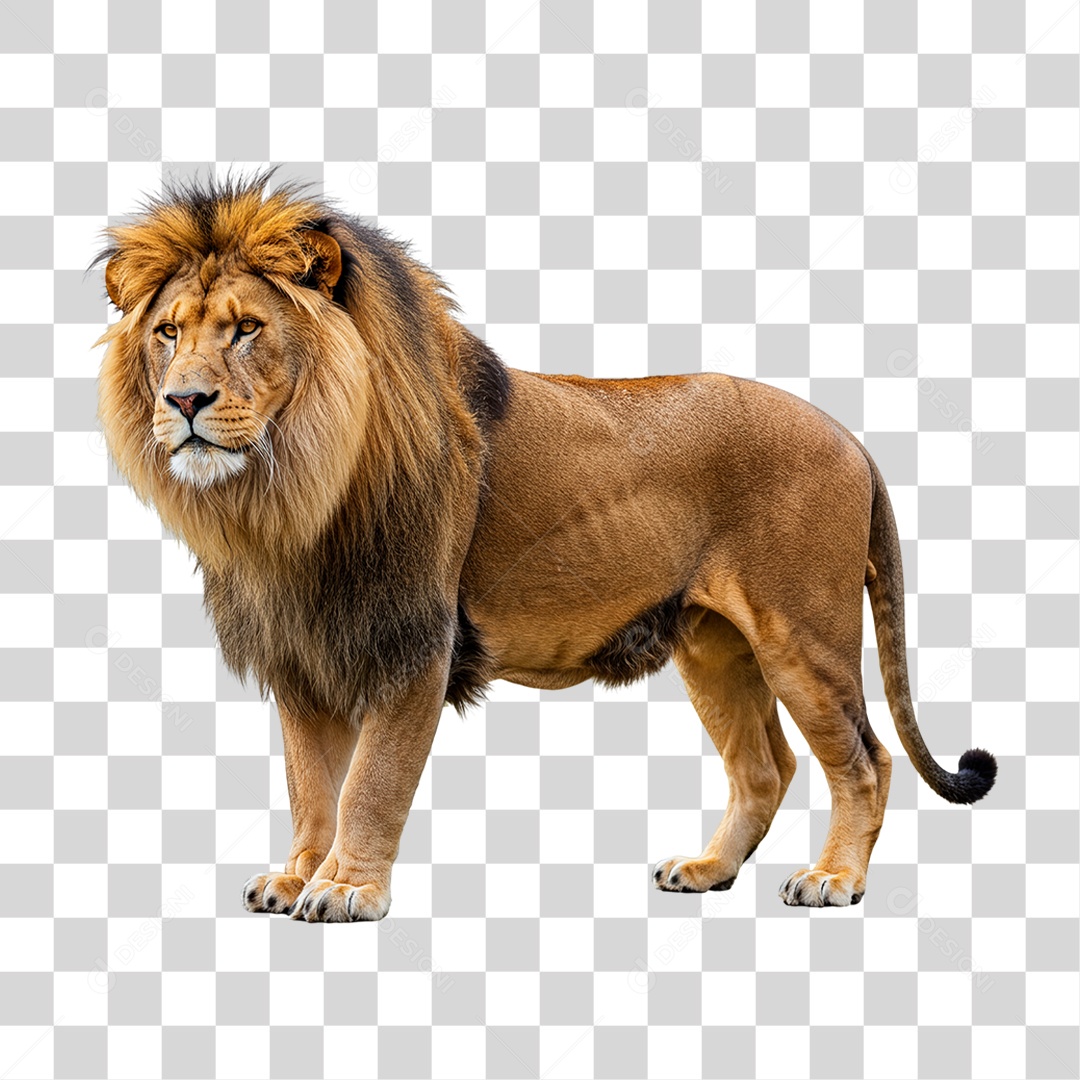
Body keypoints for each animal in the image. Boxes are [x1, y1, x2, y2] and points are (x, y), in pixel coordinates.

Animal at [94, 172, 996, 921]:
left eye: (246, 329)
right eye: (168, 333)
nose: (183, 401)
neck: (287, 497)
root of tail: (851, 436)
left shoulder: (413, 643)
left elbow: (371, 783)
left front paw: (347, 890)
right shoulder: (306, 651)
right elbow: (311, 785)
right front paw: (296, 876)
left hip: (801, 634)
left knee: (866, 760)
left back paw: (834, 879)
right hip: (714, 647)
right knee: (766, 766)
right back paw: (707, 870)